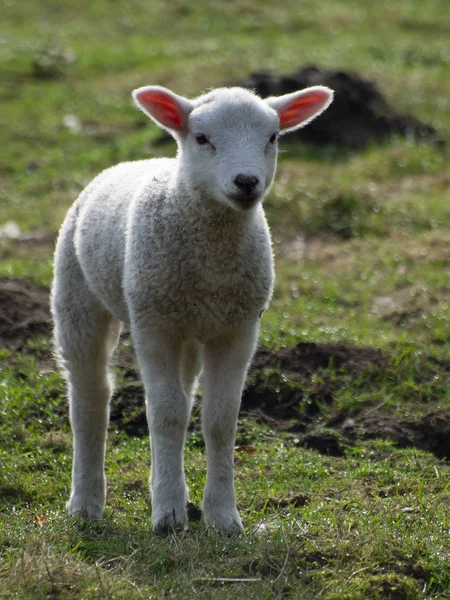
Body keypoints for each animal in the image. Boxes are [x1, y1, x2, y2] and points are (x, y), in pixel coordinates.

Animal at [51, 83, 334, 536]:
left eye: (272, 137)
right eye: (202, 138)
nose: (246, 181)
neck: (212, 258)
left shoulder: (238, 329)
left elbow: (219, 418)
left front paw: (222, 516)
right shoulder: (153, 324)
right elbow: (165, 414)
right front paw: (167, 516)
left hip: (186, 326)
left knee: (181, 394)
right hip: (79, 297)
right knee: (90, 394)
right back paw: (86, 501)